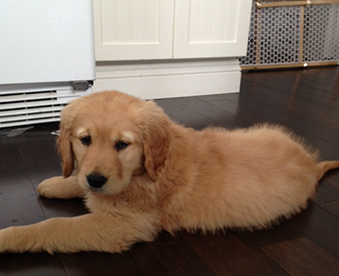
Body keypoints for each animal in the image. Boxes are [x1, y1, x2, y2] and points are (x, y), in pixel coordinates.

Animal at [0, 91, 339, 254]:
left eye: (122, 144)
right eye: (85, 140)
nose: (96, 179)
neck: (147, 170)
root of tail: (311, 164)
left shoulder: (124, 224)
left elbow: (54, 226)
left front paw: (8, 237)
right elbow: (78, 183)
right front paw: (57, 182)